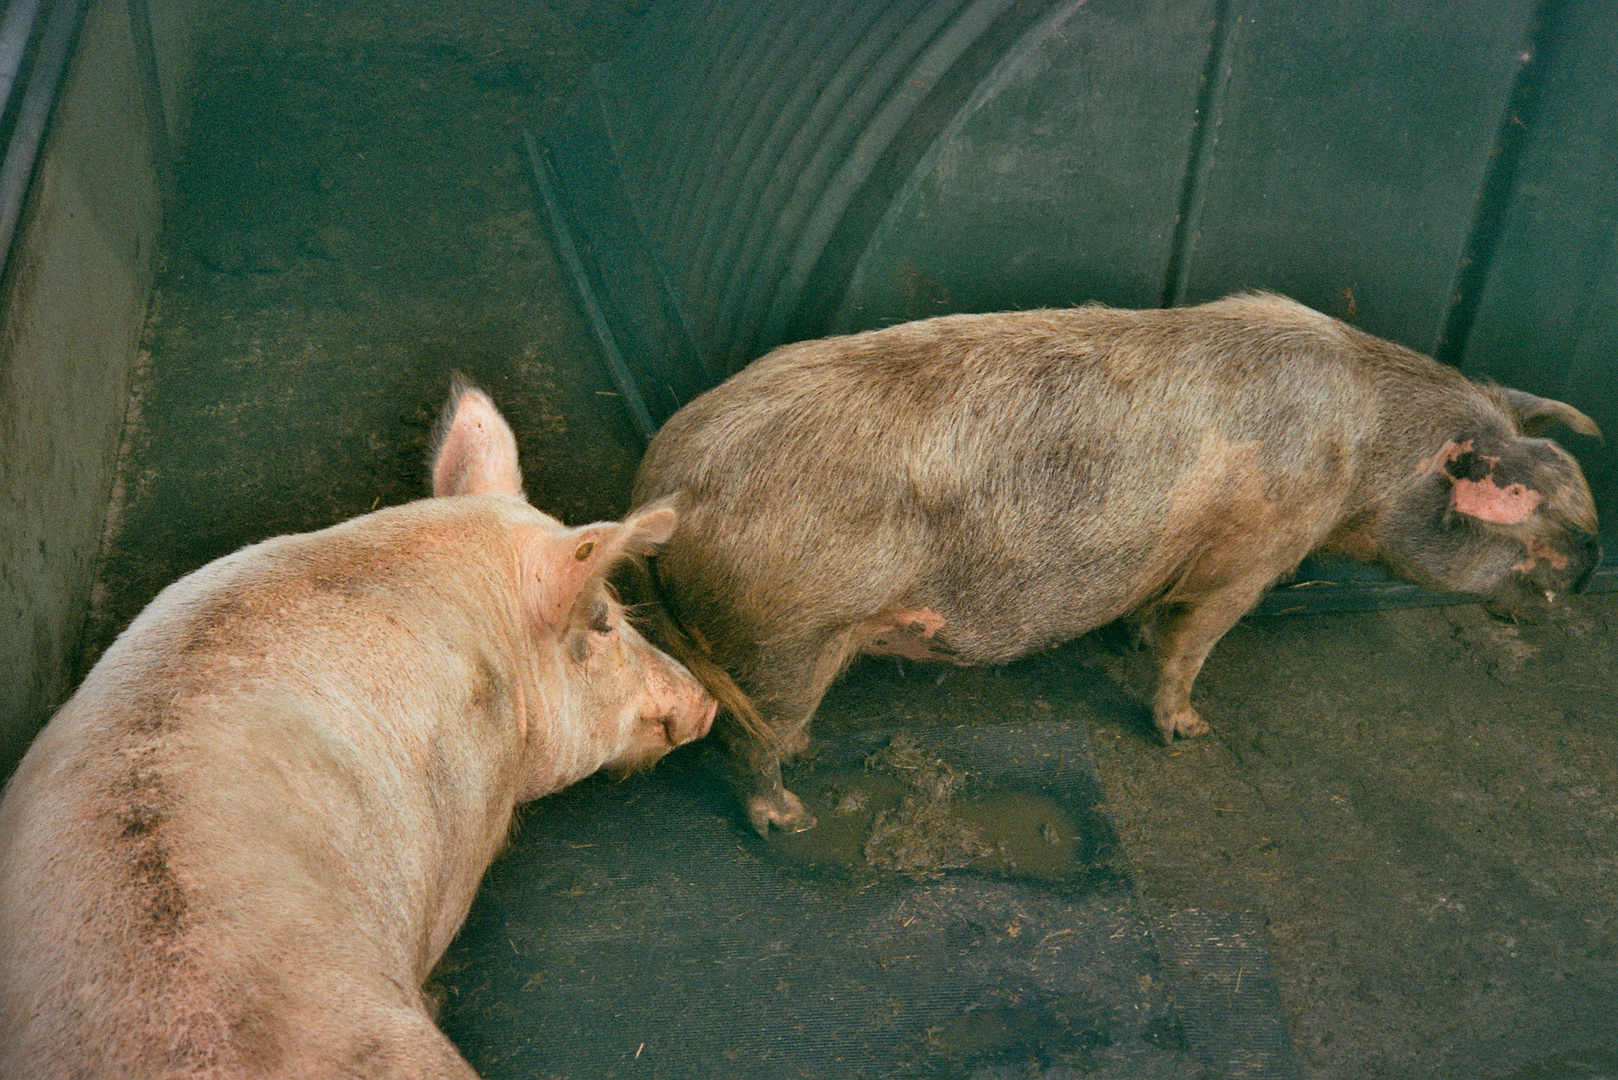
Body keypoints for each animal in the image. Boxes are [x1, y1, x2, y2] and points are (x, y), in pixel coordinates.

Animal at [634, 291, 1605, 835]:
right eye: (1534, 505)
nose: (1594, 562)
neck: (1362, 459)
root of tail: (668, 481)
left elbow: (1156, 614)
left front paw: (1134, 640)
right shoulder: (1253, 551)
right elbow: (1197, 638)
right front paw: (1189, 730)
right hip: (789, 634)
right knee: (751, 739)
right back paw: (790, 818)